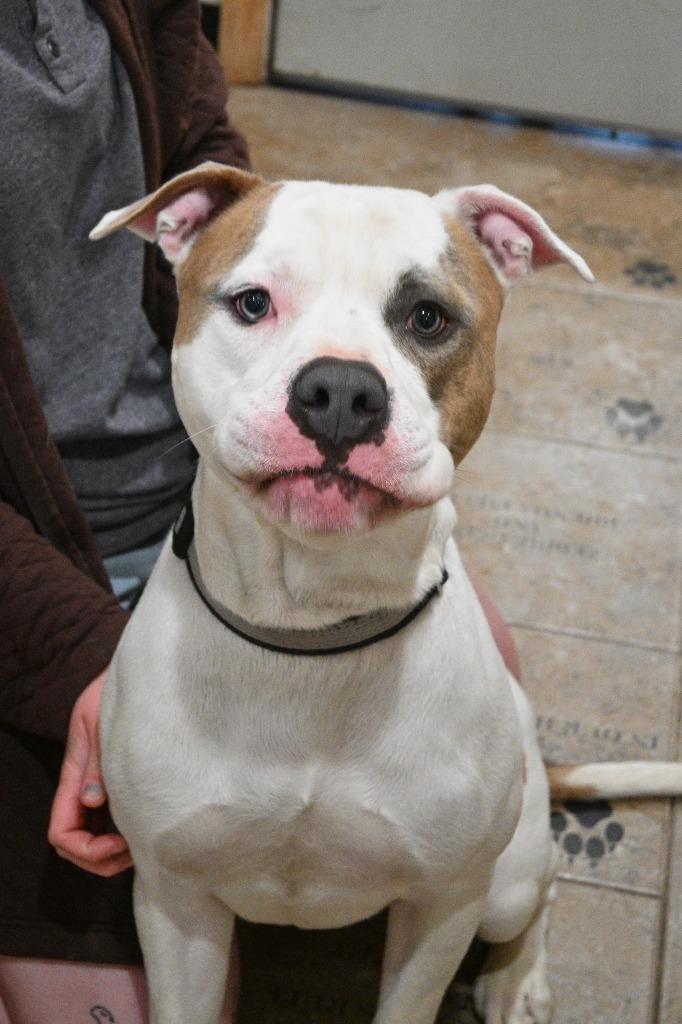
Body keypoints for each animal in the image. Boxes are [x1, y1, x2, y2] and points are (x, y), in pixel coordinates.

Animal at [91, 167, 679, 1024]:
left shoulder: (444, 906)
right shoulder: (174, 902)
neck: (312, 632)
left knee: (545, 887)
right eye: (252, 303)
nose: (340, 391)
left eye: (427, 317)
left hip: (503, 882)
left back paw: (516, 978)